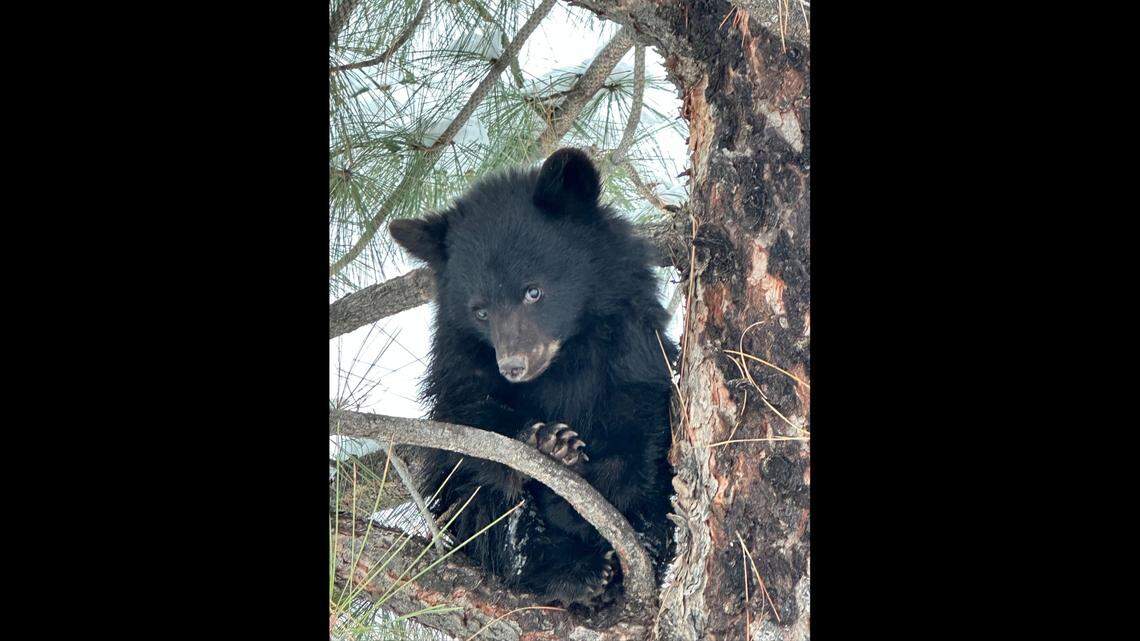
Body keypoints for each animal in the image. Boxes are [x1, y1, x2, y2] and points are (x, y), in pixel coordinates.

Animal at [389, 147, 677, 608]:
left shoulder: (632, 347)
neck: (564, 362)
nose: (514, 366)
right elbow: (467, 427)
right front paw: (550, 441)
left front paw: (593, 487)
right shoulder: (460, 364)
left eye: (533, 291)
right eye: (480, 311)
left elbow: (639, 415)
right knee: (482, 506)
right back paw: (568, 570)